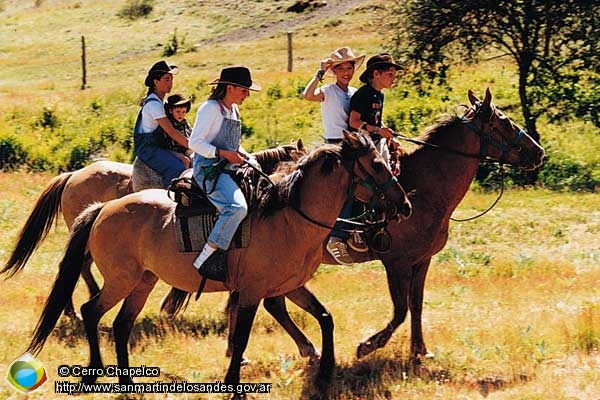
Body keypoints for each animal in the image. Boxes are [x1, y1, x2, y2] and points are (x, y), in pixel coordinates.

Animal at [25, 132, 414, 396]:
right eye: (376, 164)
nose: (405, 205)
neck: (288, 217)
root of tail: (104, 207)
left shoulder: (289, 286)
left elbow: (324, 317)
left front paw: (325, 369)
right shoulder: (252, 292)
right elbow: (240, 338)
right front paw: (233, 382)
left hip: (143, 281)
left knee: (121, 325)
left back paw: (127, 380)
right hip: (122, 280)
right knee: (92, 311)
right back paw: (94, 371)